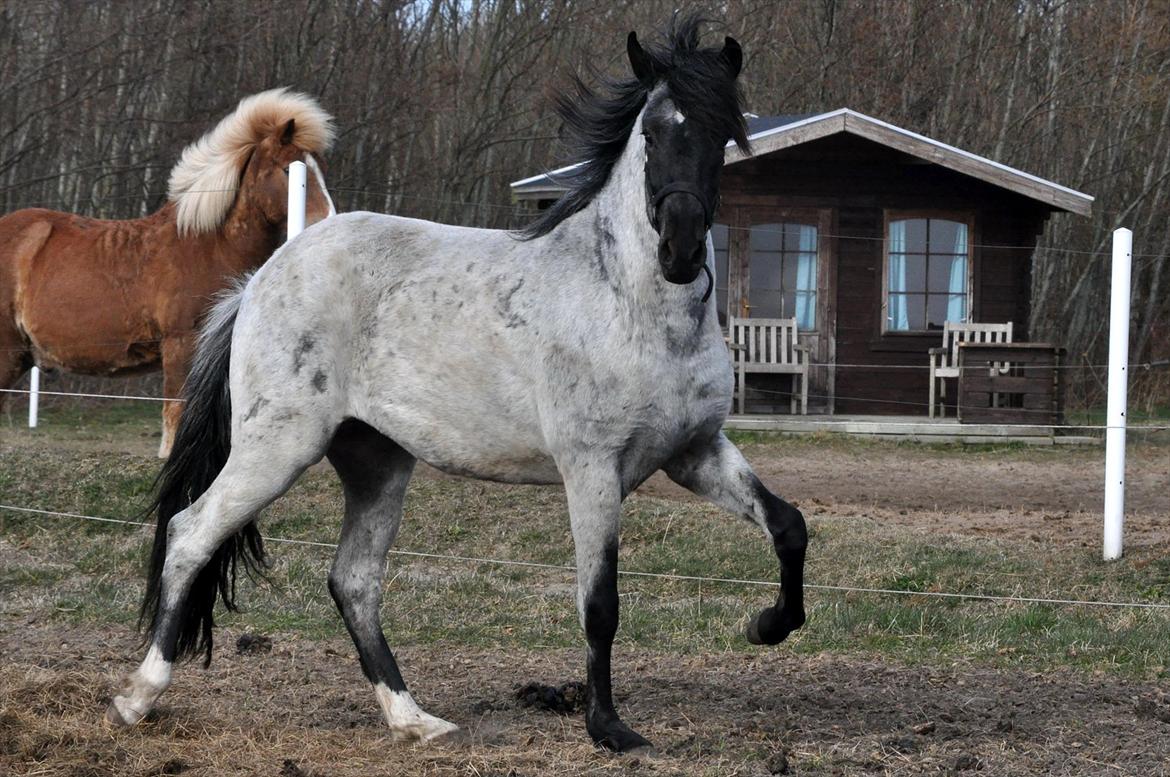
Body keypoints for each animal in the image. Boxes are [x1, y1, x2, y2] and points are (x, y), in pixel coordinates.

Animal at [0, 89, 336, 456]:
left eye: (320, 168)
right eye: (290, 169)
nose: (328, 219)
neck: (209, 246)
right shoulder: (181, 344)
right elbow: (177, 410)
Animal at [107, 19, 804, 753]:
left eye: (723, 133)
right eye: (653, 131)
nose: (681, 249)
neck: (630, 305)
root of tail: (260, 280)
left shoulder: (693, 453)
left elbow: (788, 525)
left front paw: (768, 625)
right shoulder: (592, 470)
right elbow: (600, 604)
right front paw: (610, 728)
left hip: (376, 461)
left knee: (353, 580)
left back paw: (413, 718)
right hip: (276, 449)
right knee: (190, 534)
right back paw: (138, 697)